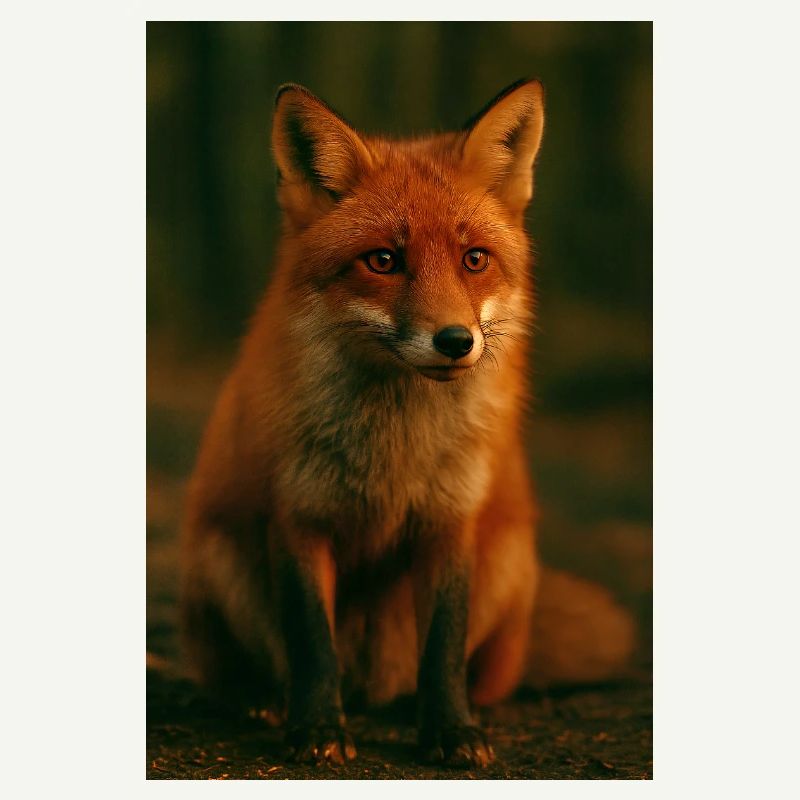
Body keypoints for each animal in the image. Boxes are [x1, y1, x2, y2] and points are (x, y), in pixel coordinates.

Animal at [179, 78, 635, 769]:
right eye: (383, 261)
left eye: (475, 259)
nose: (455, 341)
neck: (396, 448)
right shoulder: (299, 517)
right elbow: (311, 642)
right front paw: (317, 729)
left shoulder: (450, 521)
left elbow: (443, 646)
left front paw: (451, 731)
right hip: (218, 555)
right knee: (243, 669)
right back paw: (261, 700)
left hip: (508, 561)